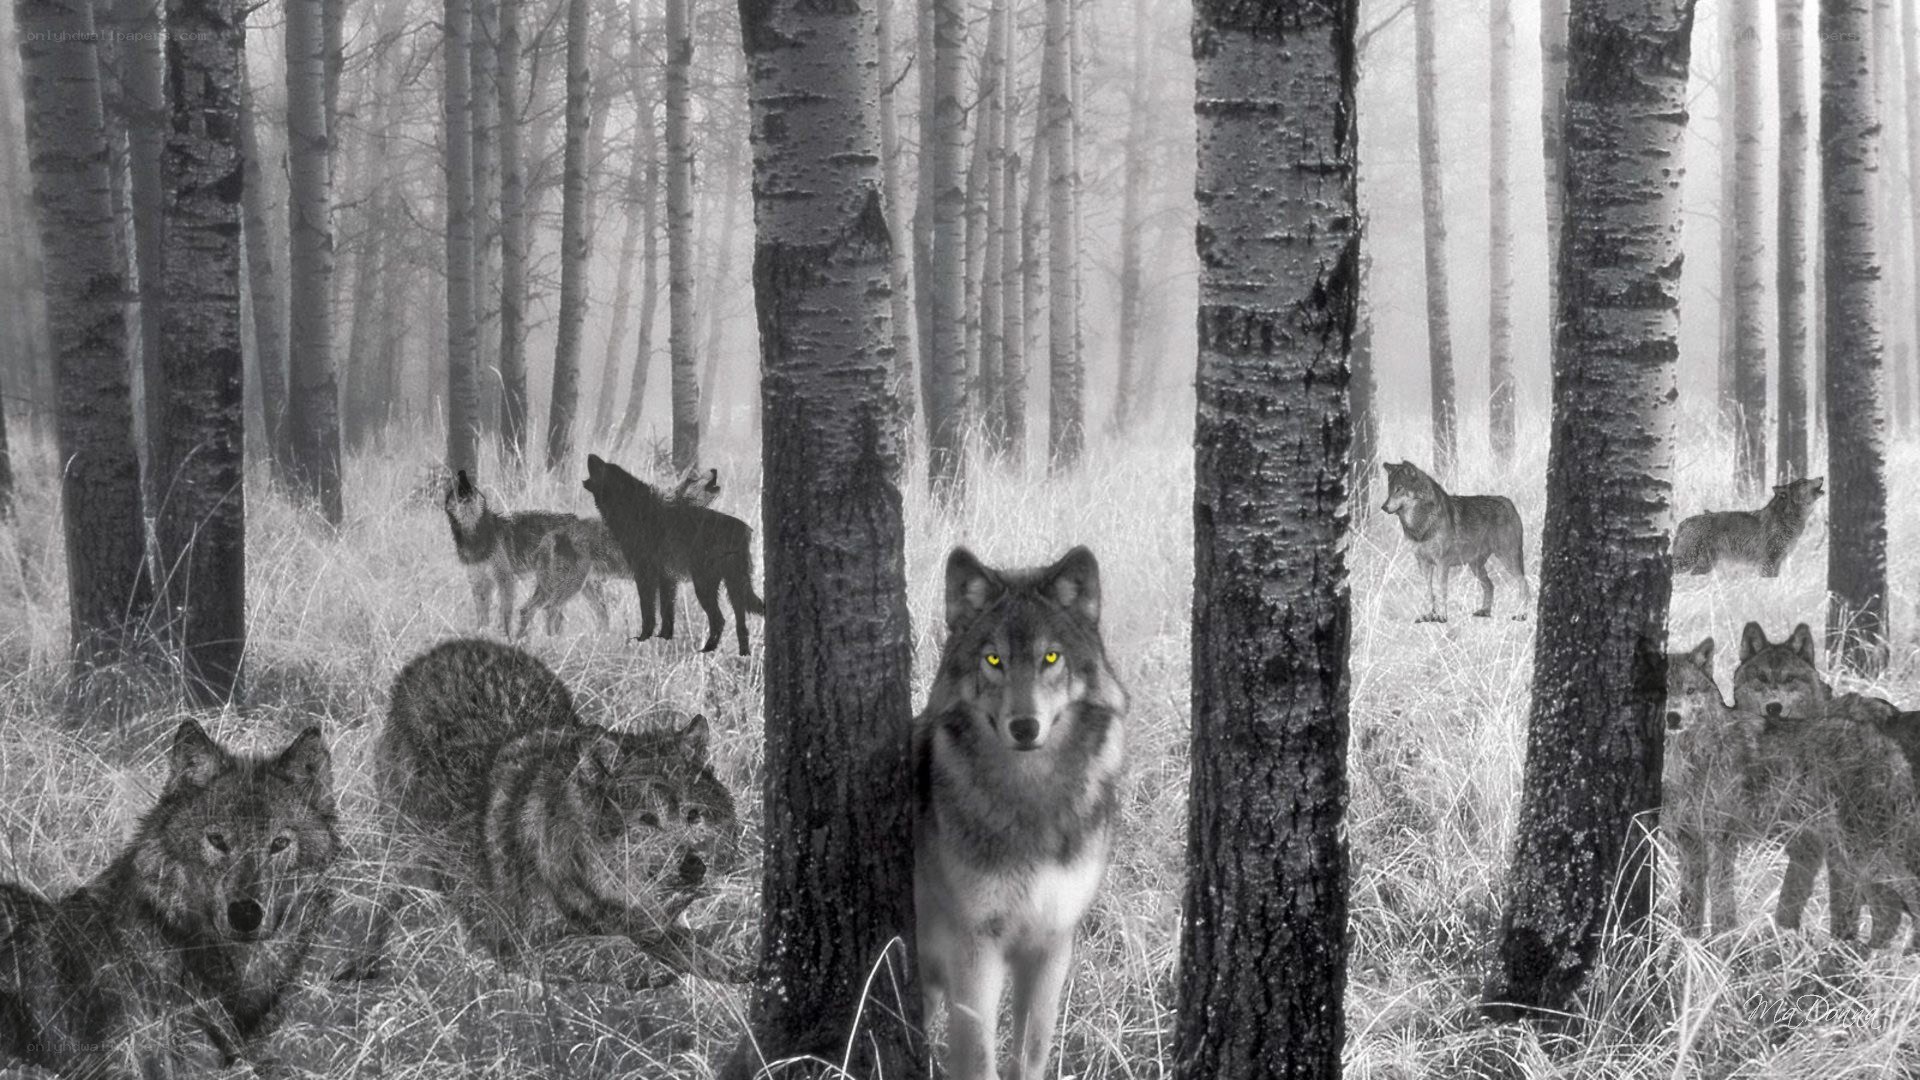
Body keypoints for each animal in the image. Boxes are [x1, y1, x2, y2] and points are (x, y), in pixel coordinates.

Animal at [581, 454, 764, 655]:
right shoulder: (667, 579)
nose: (590, 455)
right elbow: (666, 614)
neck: (635, 512)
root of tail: (743, 529)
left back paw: (706, 650)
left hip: (705, 587)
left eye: (603, 466)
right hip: (732, 589)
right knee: (739, 622)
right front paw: (664, 639)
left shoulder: (645, 576)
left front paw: (644, 638)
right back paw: (741, 653)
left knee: (719, 619)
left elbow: (648, 612)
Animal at [914, 546, 1128, 1080]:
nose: (1025, 726)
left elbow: (1031, 1051)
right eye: (994, 660)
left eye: (1050, 657)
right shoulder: (975, 945)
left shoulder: (1052, 942)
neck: (1032, 798)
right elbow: (977, 1058)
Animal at [1379, 460, 1532, 622]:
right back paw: (1484, 611)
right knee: (1490, 585)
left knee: (1523, 583)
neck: (1422, 526)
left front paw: (1441, 616)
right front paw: (1427, 615)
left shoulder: (1442, 563)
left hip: (1507, 559)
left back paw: (1521, 614)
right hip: (1475, 566)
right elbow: (1428, 592)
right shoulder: (1423, 563)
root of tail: (1508, 502)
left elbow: (1442, 591)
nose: (1383, 507)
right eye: (1389, 490)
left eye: (1399, 489)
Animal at [1672, 476, 1824, 577]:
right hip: (1687, 561)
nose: (1822, 476)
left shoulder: (1778, 561)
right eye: (1803, 482)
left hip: (1704, 566)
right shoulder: (1769, 560)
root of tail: (1683, 522)